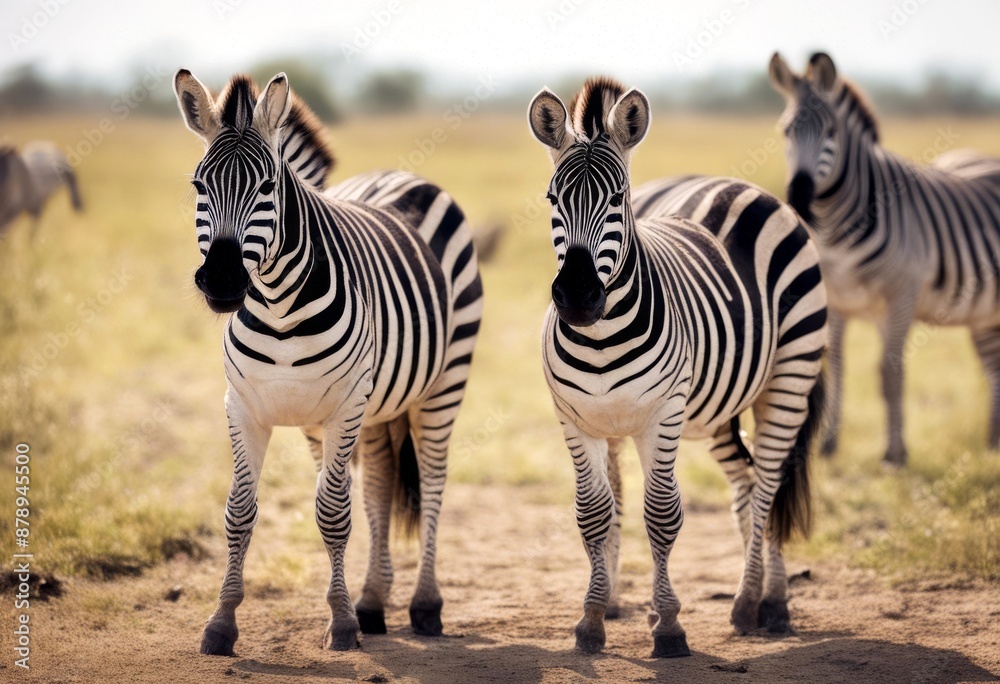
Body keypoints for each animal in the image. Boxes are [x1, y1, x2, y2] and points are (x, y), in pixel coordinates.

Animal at [173, 69, 482, 654]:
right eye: (199, 186)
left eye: (267, 188)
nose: (222, 281)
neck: (278, 304)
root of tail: (399, 174)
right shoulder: (246, 406)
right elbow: (241, 511)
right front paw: (222, 623)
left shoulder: (344, 405)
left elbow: (333, 511)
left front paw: (340, 623)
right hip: (380, 408)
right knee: (379, 485)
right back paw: (373, 602)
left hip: (443, 383)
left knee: (433, 479)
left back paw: (424, 604)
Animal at [527, 77, 827, 657]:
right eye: (552, 199)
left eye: (618, 199)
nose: (577, 298)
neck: (601, 339)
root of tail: (733, 185)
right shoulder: (573, 419)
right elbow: (593, 515)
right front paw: (593, 619)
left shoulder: (663, 413)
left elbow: (662, 514)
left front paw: (668, 626)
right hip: (717, 410)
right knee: (746, 481)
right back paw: (759, 594)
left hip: (788, 377)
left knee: (769, 483)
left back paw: (761, 604)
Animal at [769, 51, 1000, 465]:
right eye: (785, 131)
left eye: (831, 132)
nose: (799, 197)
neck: (835, 232)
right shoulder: (837, 301)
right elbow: (839, 366)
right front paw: (830, 445)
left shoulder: (900, 298)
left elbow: (889, 373)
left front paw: (895, 453)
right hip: (984, 314)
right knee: (994, 369)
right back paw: (992, 445)